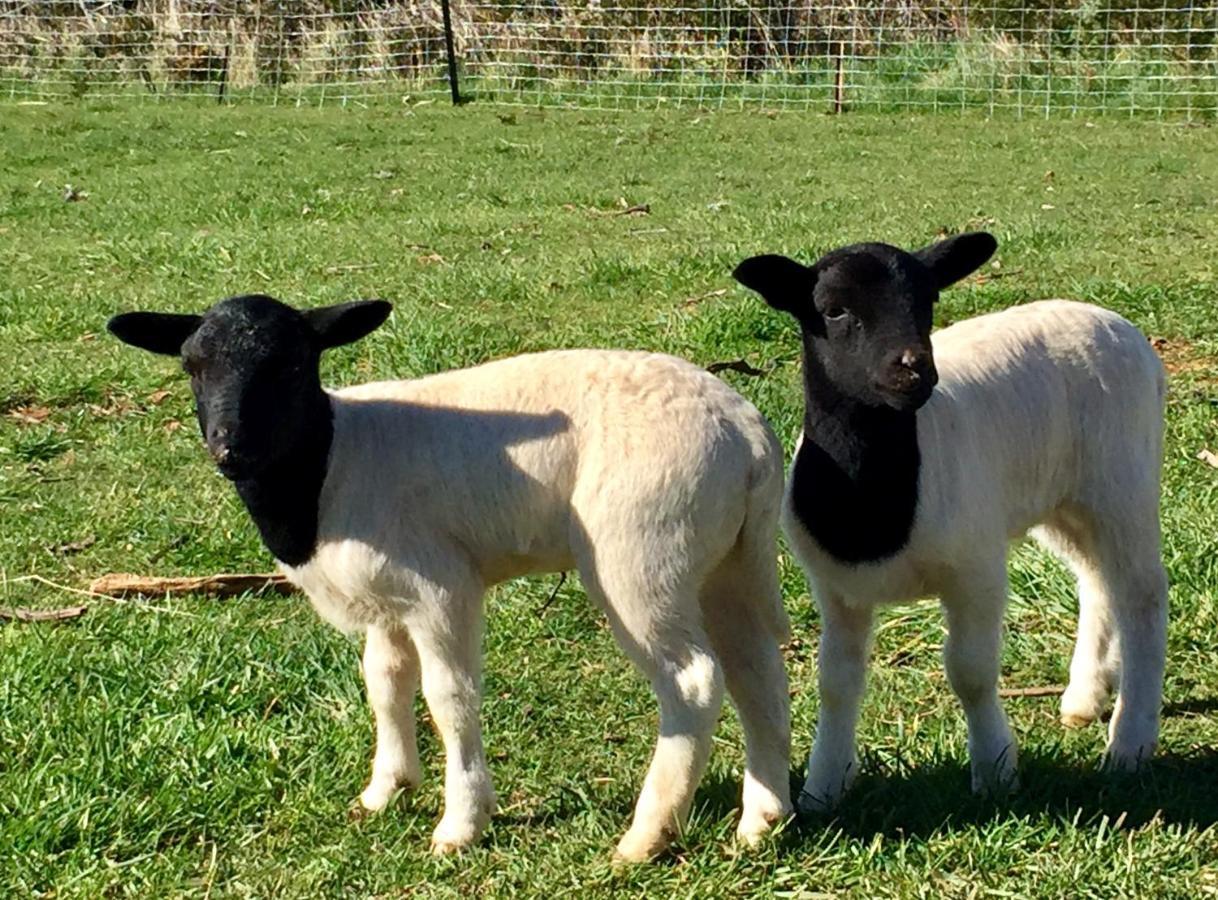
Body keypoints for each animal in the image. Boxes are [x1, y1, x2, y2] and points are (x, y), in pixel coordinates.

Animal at [102, 292, 789, 862]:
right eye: (192, 366)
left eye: (294, 365)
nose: (230, 449)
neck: (330, 461)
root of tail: (746, 431)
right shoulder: (385, 597)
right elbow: (383, 683)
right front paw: (386, 789)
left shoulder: (439, 586)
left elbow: (449, 698)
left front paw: (461, 823)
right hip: (724, 562)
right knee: (756, 669)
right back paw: (763, 817)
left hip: (641, 555)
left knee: (693, 682)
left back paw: (647, 836)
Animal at [730, 236, 1169, 813]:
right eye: (833, 310)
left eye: (929, 298)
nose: (915, 368)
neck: (875, 505)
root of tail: (1119, 325)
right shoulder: (837, 592)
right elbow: (836, 684)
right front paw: (824, 787)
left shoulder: (975, 570)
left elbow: (971, 673)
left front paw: (995, 771)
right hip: (1063, 500)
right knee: (1097, 582)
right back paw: (1084, 697)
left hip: (1123, 482)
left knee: (1142, 596)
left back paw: (1130, 743)